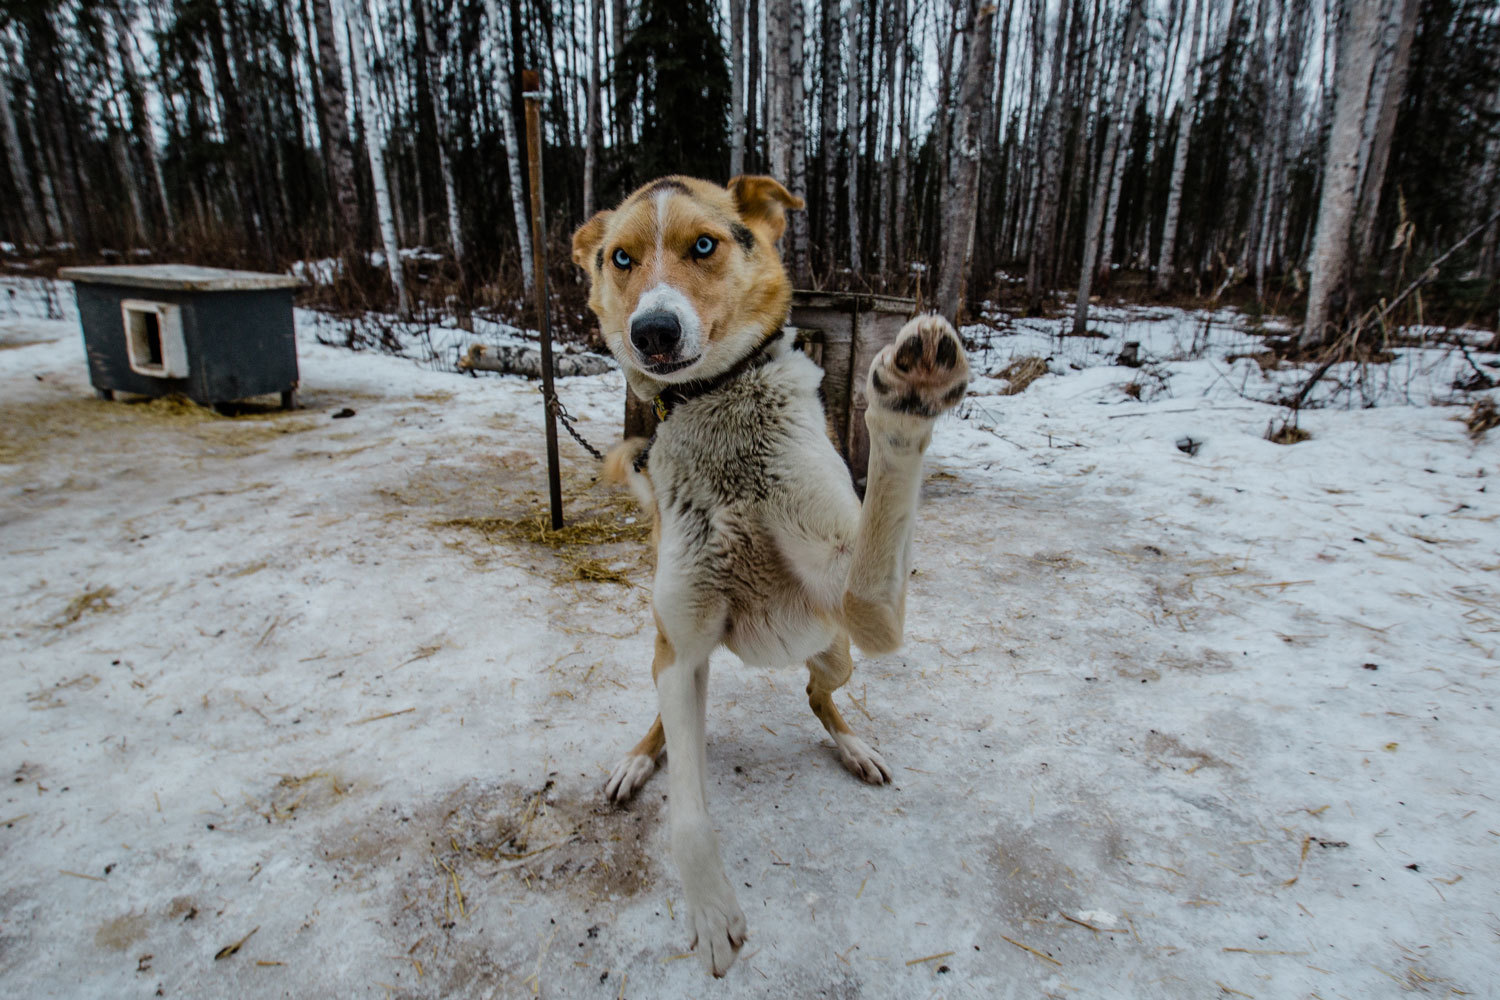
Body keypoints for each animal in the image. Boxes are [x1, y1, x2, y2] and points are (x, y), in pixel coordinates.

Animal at [567, 173, 966, 977]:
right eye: (620, 258)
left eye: (704, 245)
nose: (653, 332)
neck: (718, 411)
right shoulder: (681, 649)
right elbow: (688, 816)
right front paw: (712, 913)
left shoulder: (869, 609)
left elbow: (875, 553)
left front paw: (907, 401)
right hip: (669, 657)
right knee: (669, 720)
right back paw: (637, 761)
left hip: (837, 653)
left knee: (819, 695)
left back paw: (853, 746)